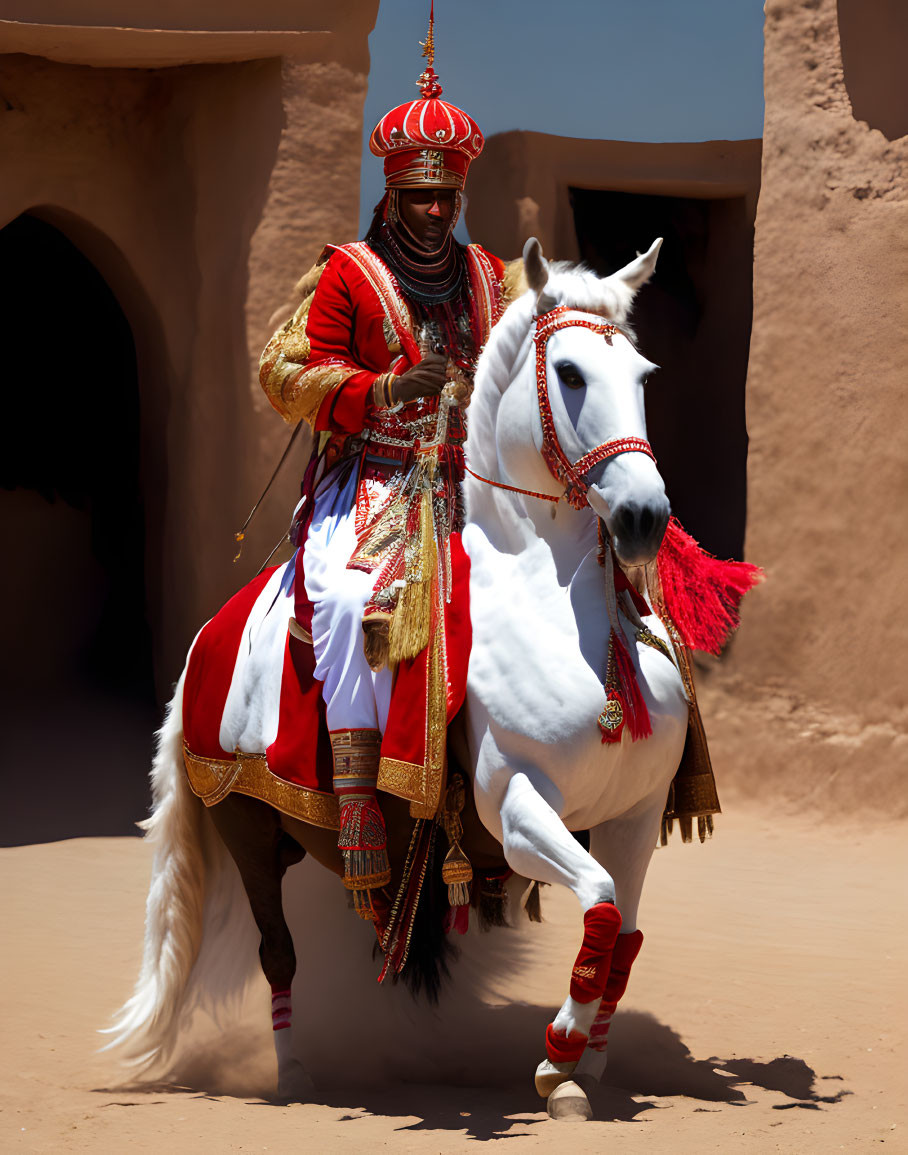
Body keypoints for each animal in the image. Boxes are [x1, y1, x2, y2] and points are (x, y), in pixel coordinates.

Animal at [109, 236, 697, 1118]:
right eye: (568, 373)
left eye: (645, 376)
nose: (642, 518)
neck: (557, 616)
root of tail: (203, 645)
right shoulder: (517, 808)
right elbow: (595, 905)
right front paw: (558, 1056)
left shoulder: (633, 813)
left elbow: (620, 932)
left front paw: (586, 1063)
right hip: (245, 825)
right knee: (277, 950)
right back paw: (295, 1074)